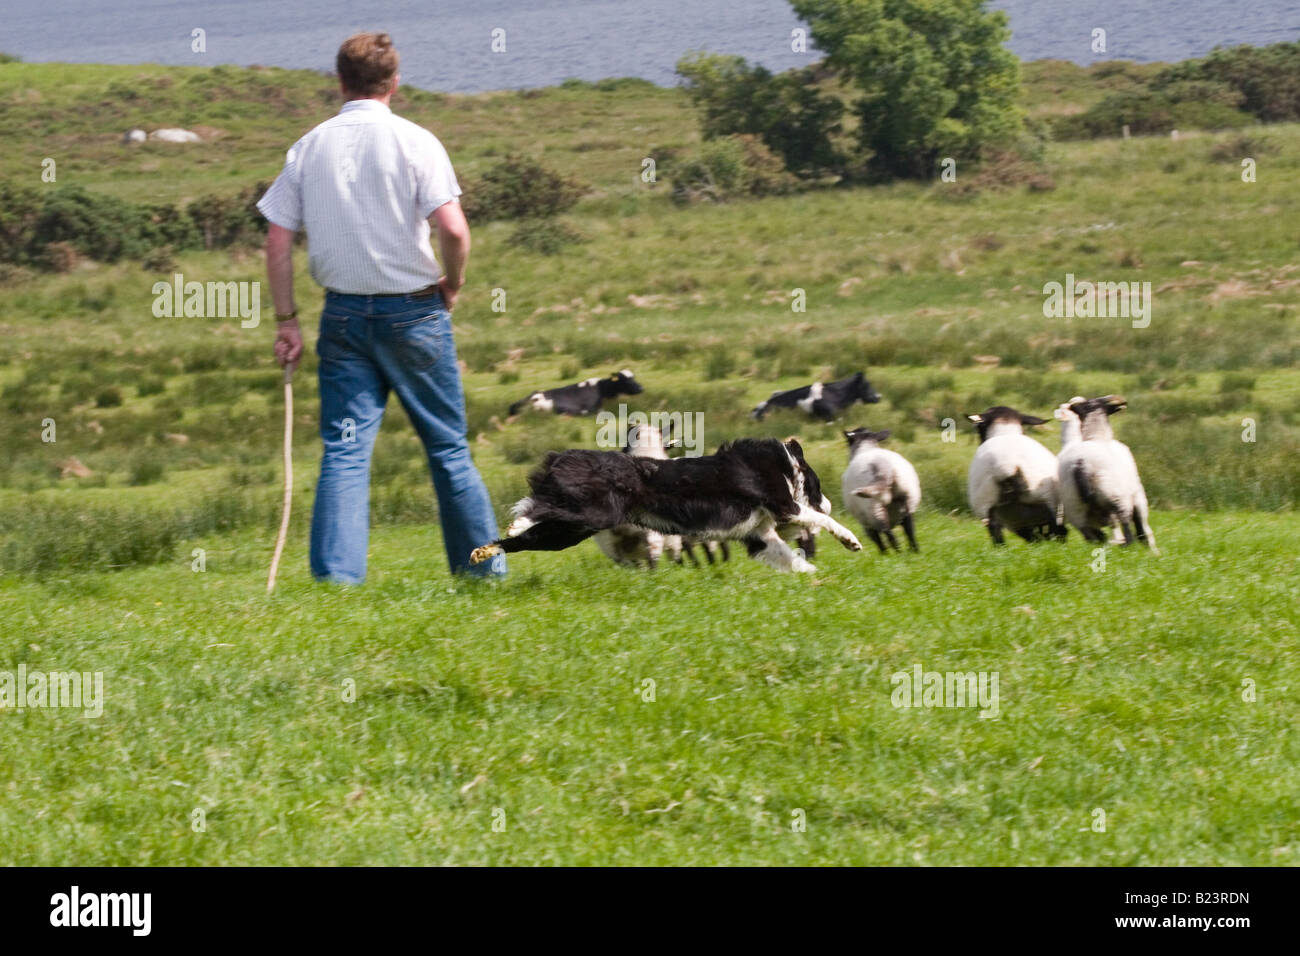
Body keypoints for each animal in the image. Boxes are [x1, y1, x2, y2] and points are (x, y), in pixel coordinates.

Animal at [470, 439, 863, 574]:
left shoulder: (759, 535)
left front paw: (813, 577)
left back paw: (483, 551)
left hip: (570, 531)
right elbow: (814, 518)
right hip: (591, 513)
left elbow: (789, 558)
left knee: (523, 540)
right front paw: (851, 540)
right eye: (818, 485)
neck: (779, 463)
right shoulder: (782, 506)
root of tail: (563, 457)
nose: (831, 503)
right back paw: (516, 523)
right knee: (536, 508)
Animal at [1055, 395, 1159, 554]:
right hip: (1117, 498)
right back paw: (1127, 549)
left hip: (1075, 507)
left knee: (1092, 535)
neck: (1097, 436)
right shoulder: (1138, 496)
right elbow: (1143, 528)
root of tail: (1082, 463)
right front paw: (1153, 552)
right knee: (1128, 530)